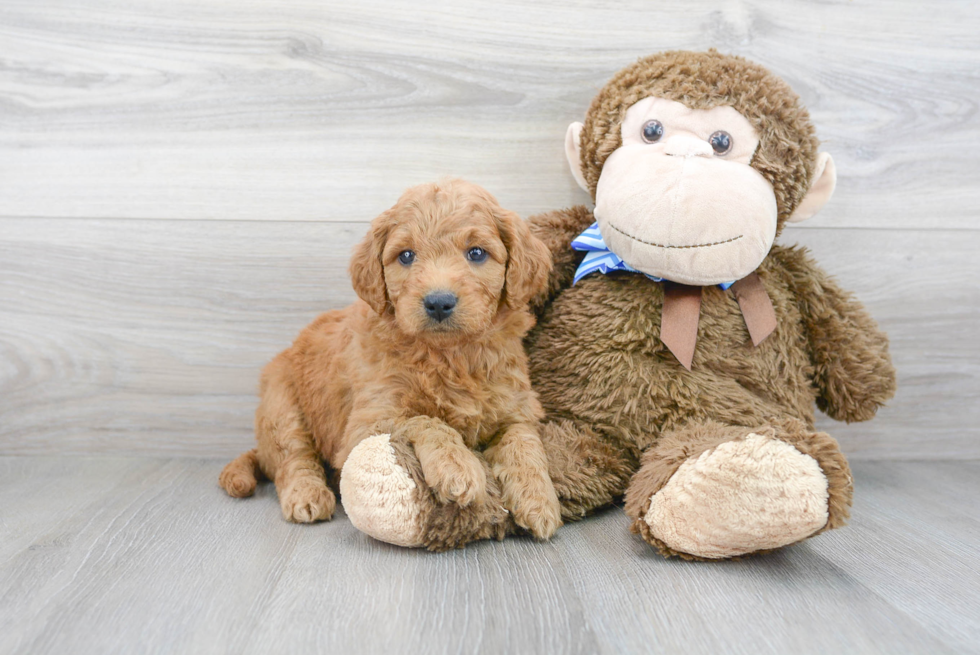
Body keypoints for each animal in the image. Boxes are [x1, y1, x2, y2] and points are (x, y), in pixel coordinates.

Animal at [219, 181, 564, 544]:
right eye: (406, 255)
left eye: (477, 253)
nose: (438, 302)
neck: (450, 355)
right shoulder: (368, 421)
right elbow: (425, 420)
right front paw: (457, 466)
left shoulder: (517, 408)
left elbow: (524, 442)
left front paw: (539, 501)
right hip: (281, 404)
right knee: (293, 457)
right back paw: (307, 496)